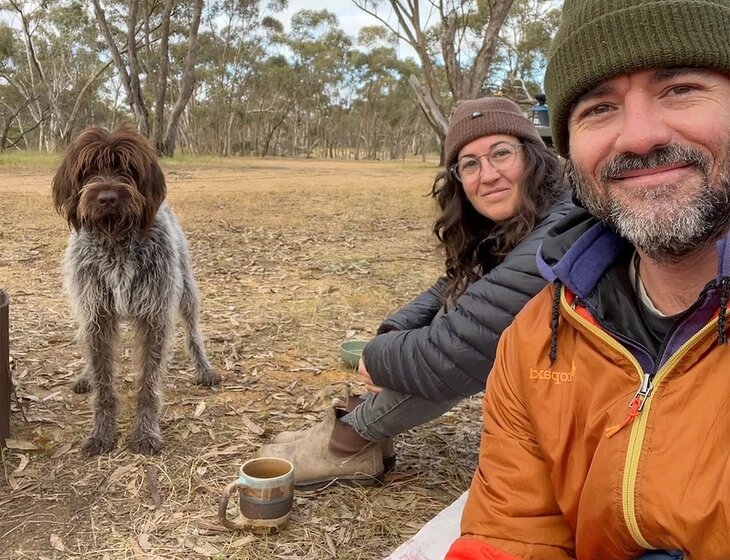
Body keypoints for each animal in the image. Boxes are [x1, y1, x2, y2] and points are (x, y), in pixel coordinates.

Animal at [52, 124, 221, 456]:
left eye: (128, 168)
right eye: (87, 170)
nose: (107, 198)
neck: (116, 240)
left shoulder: (154, 315)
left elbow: (148, 383)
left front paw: (145, 432)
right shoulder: (97, 316)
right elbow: (103, 381)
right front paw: (101, 432)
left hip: (186, 292)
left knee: (193, 332)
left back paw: (204, 368)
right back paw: (85, 375)